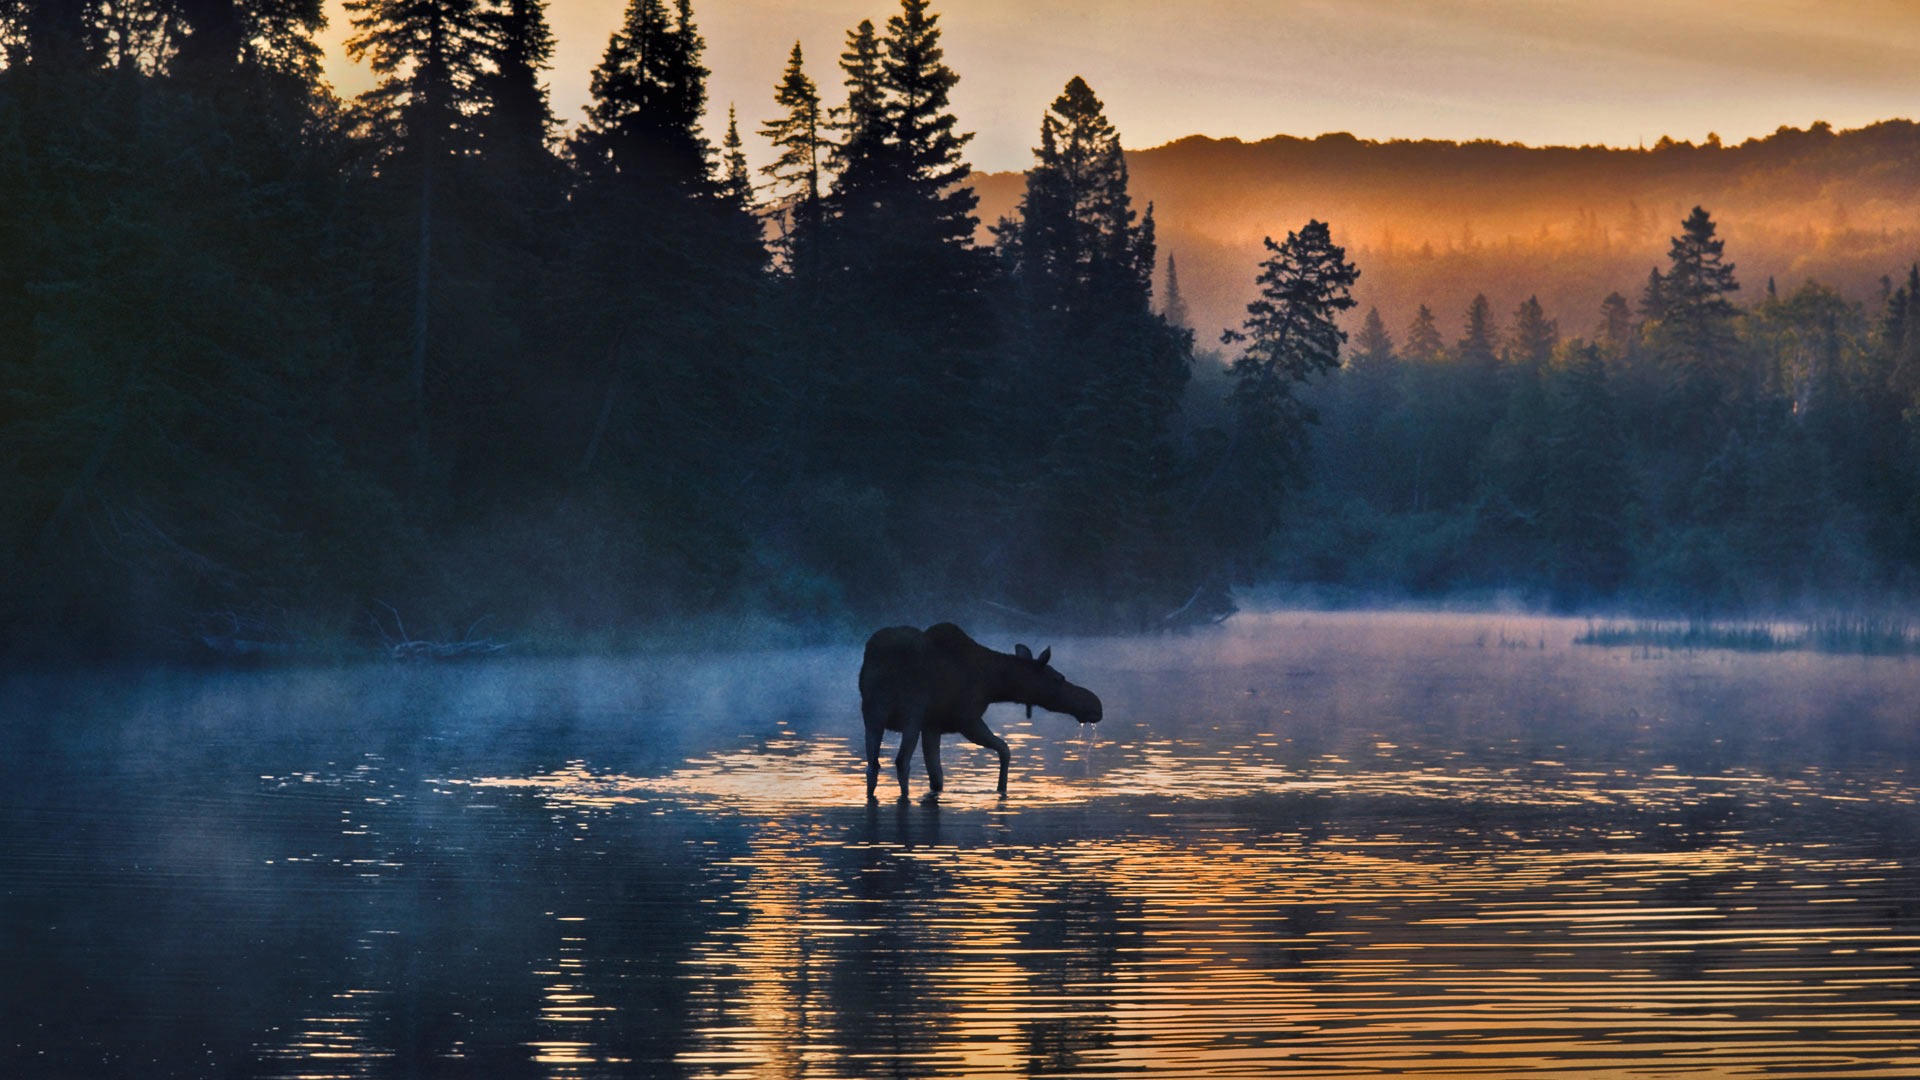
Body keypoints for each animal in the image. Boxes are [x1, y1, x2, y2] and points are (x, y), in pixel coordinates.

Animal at [860, 622, 1105, 799]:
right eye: (1058, 678)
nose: (1095, 705)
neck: (994, 684)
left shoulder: (933, 725)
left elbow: (937, 775)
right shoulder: (966, 720)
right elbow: (1005, 749)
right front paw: (1001, 788)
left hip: (872, 713)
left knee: (873, 766)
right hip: (912, 712)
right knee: (901, 762)